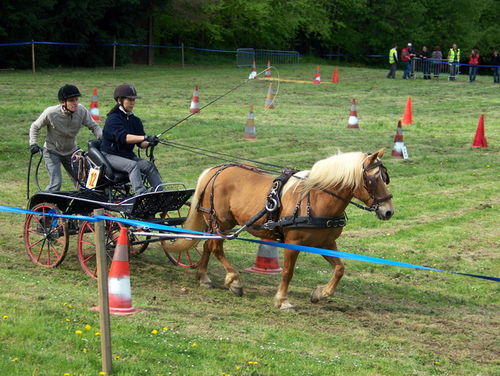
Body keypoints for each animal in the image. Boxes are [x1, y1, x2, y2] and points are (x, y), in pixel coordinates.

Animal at [163, 148, 394, 310]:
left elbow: (339, 269)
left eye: (385, 177)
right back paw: (234, 281)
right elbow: (288, 272)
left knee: (208, 246)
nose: (388, 211)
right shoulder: (294, 243)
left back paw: (204, 277)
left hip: (216, 223)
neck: (316, 199)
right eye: (372, 179)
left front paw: (320, 293)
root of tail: (216, 170)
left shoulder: (326, 242)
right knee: (216, 247)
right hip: (221, 221)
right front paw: (282, 301)